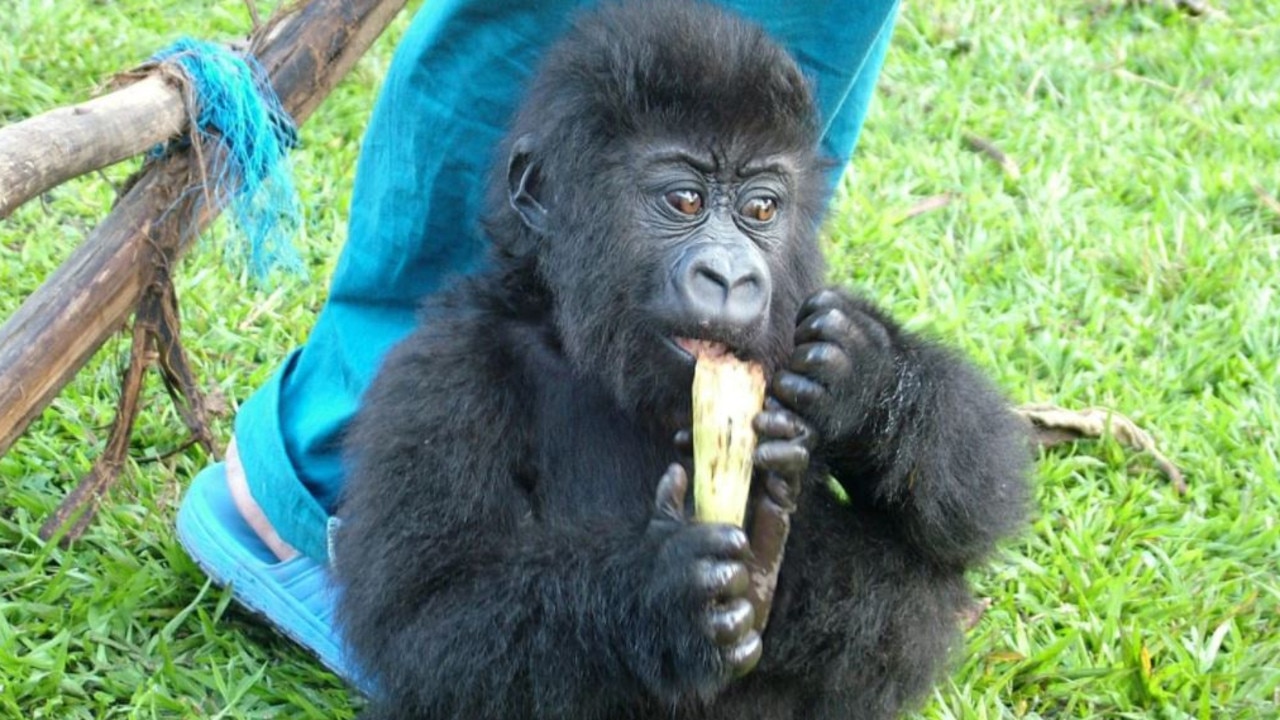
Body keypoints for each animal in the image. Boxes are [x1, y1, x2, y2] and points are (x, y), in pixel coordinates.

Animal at [337, 2, 1029, 712]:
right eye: (686, 201)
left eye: (761, 208)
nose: (730, 277)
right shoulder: (441, 371)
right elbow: (427, 618)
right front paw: (666, 598)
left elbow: (977, 500)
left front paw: (860, 376)